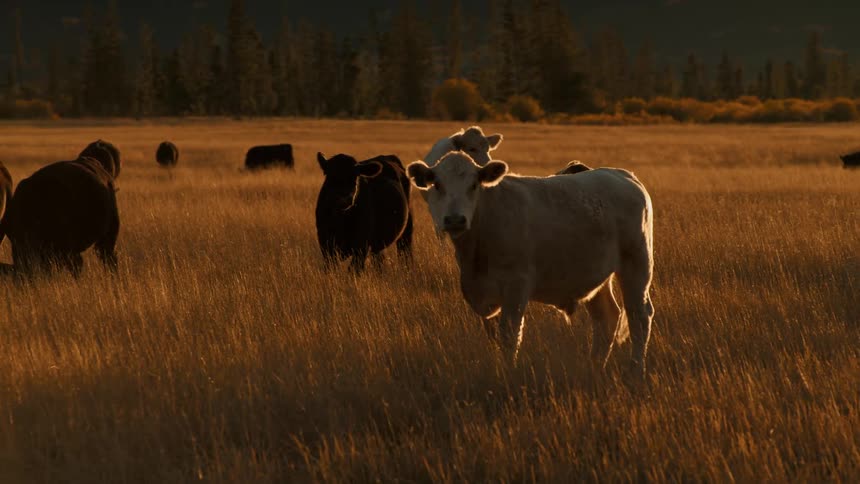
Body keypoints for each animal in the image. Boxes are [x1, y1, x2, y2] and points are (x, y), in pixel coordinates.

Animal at [406, 152, 655, 378]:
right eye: (437, 185)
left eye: (473, 185)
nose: (455, 219)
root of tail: (622, 175)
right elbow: (493, 336)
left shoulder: (517, 285)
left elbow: (509, 335)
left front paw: (508, 372)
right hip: (596, 276)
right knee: (606, 318)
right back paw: (594, 367)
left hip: (637, 264)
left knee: (639, 317)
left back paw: (636, 370)